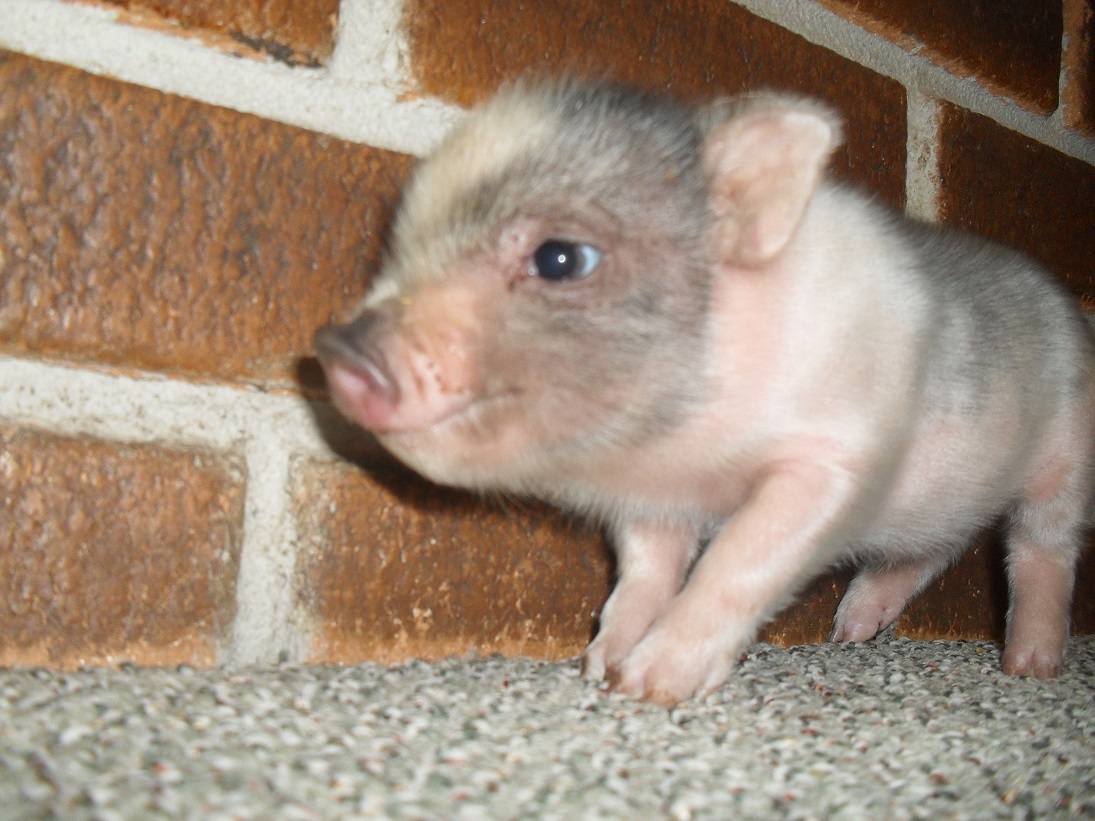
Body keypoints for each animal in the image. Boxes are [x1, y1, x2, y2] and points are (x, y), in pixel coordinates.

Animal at [315, 80, 1095, 707]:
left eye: (560, 258)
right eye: (401, 245)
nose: (335, 351)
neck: (684, 443)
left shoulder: (831, 463)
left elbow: (735, 562)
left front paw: (649, 685)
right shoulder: (650, 504)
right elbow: (644, 573)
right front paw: (600, 666)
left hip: (1065, 460)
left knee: (1040, 550)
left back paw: (1027, 668)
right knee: (932, 550)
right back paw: (851, 631)